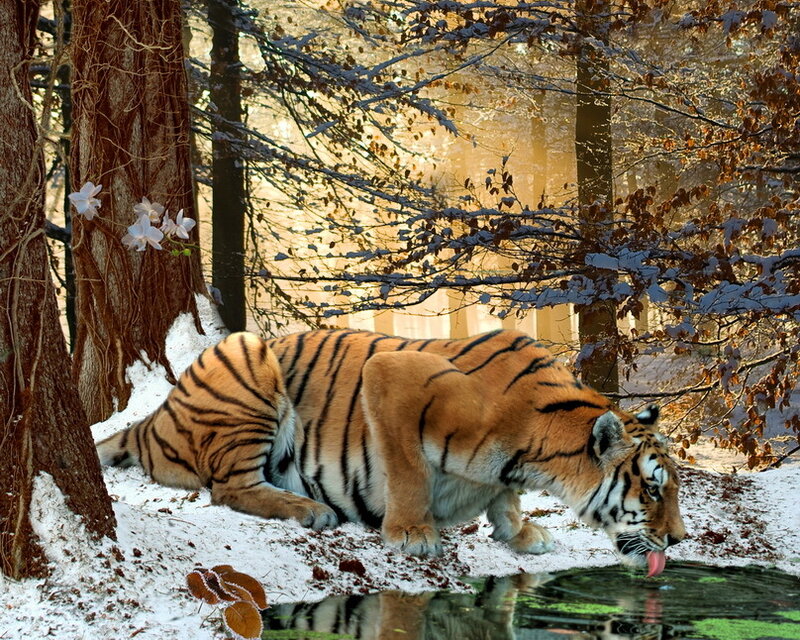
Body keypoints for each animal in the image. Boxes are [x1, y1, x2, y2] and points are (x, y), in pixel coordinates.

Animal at [97, 328, 685, 574]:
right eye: (654, 489)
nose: (679, 539)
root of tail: (157, 415)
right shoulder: (390, 376)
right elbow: (407, 470)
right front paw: (412, 534)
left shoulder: (503, 477)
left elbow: (505, 498)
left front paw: (520, 532)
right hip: (248, 357)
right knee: (228, 488)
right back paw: (309, 509)